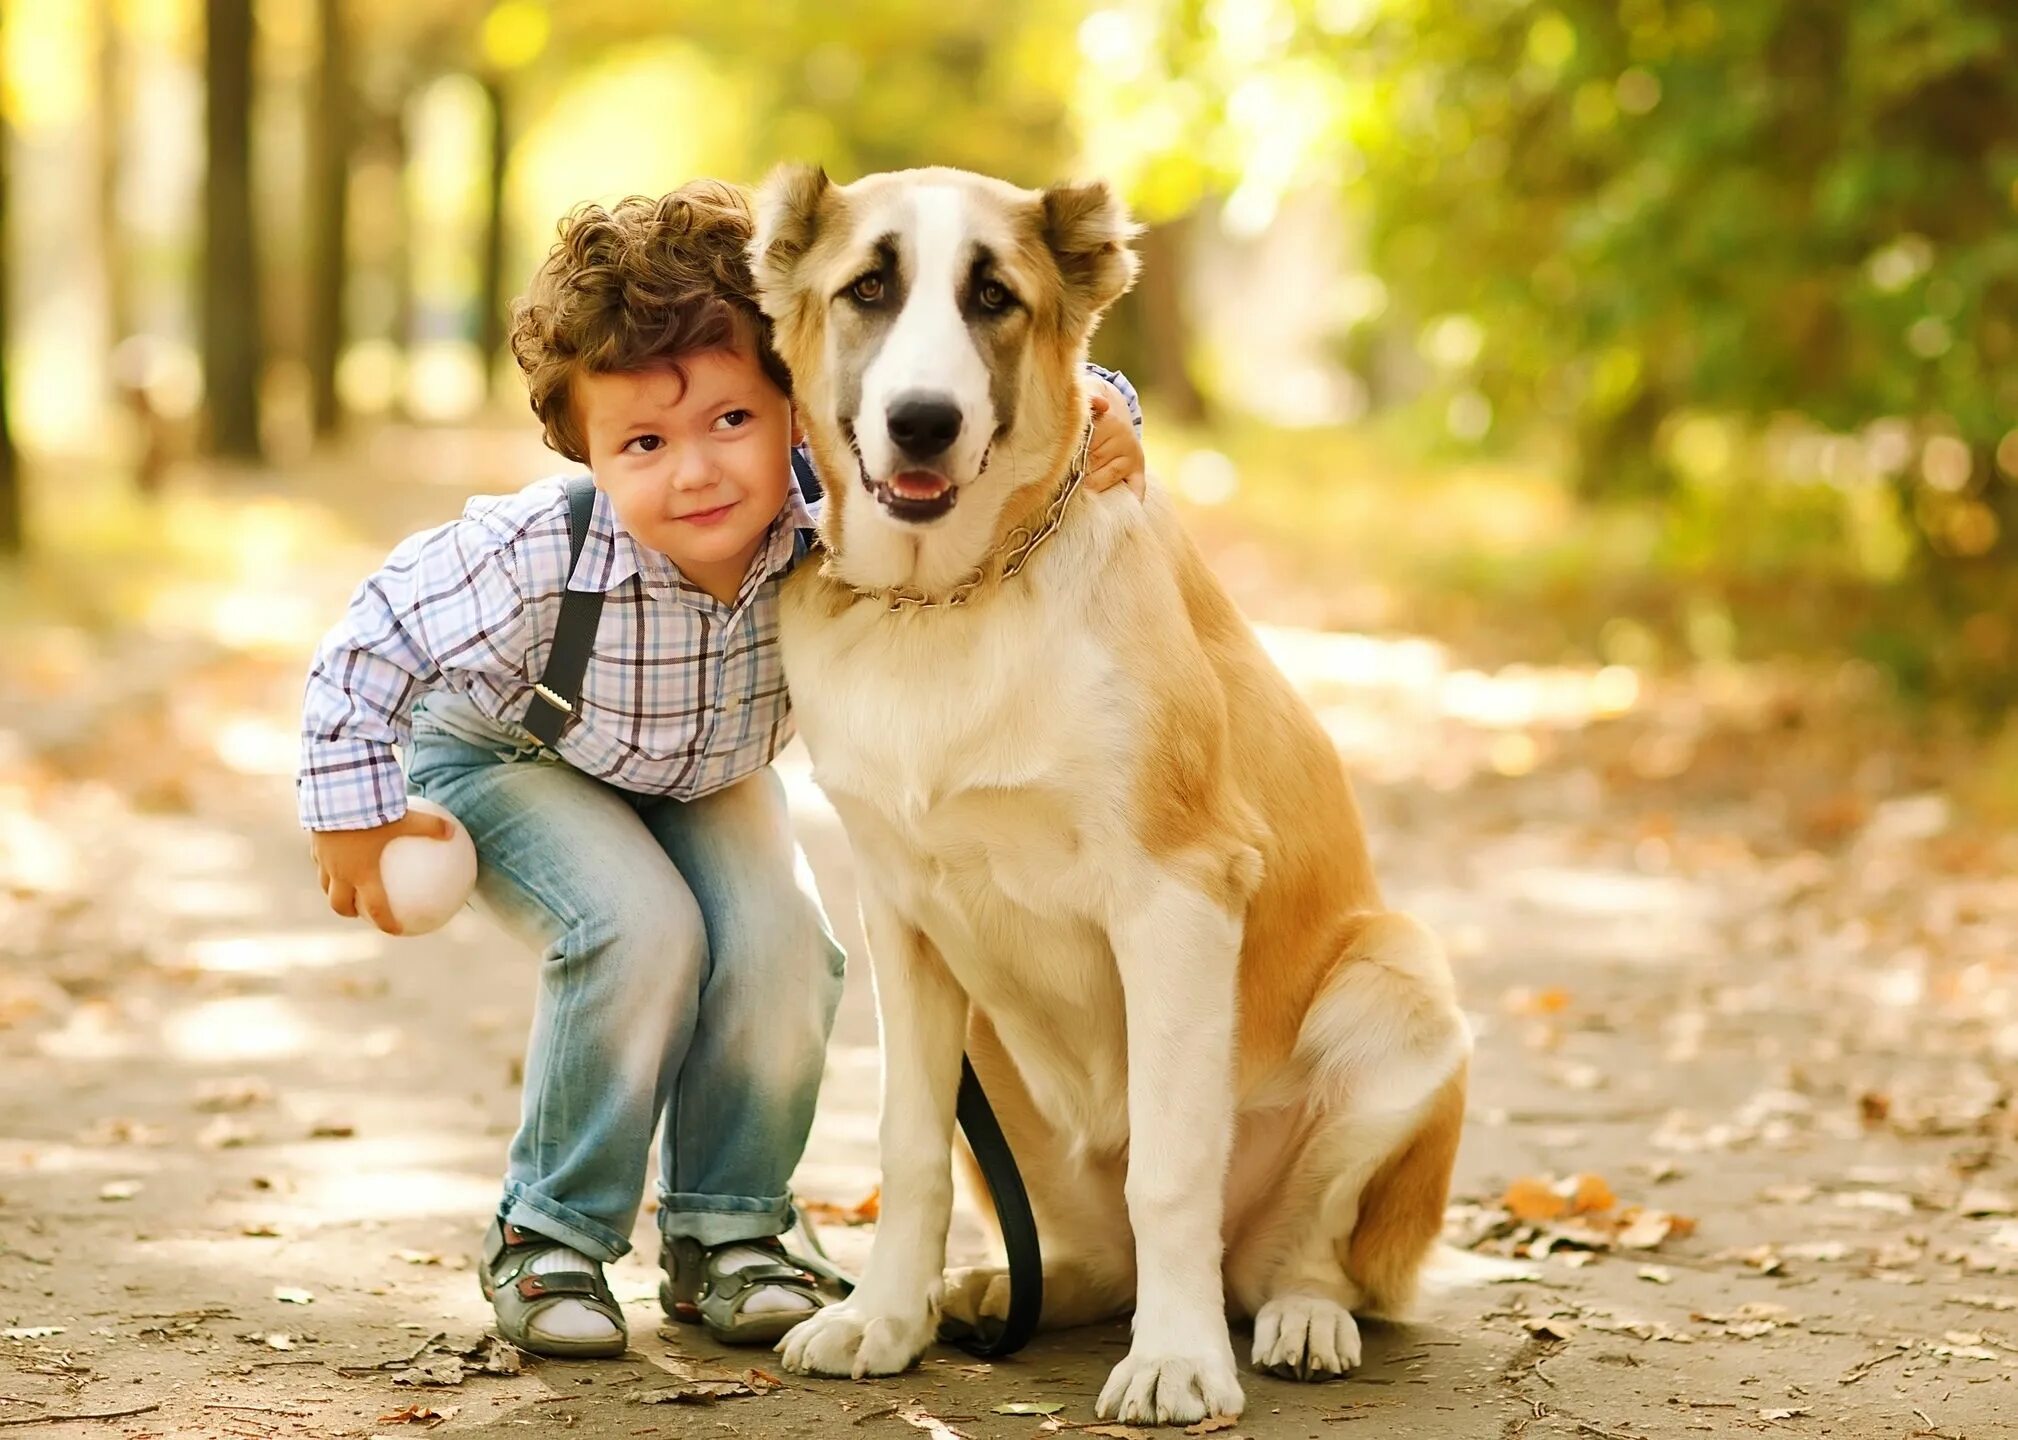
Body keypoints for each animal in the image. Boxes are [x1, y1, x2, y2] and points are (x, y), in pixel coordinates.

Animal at [742, 168, 1469, 1427]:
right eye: (867, 289)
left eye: (993, 297)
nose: (922, 422)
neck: (951, 606)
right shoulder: (901, 915)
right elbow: (904, 1146)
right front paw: (882, 1319)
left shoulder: (1177, 897)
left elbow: (1172, 1167)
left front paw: (1175, 1360)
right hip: (993, 1049)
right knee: (1087, 1257)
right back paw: (993, 1292)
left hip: (1402, 990)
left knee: (1301, 1246)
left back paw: (1295, 1316)